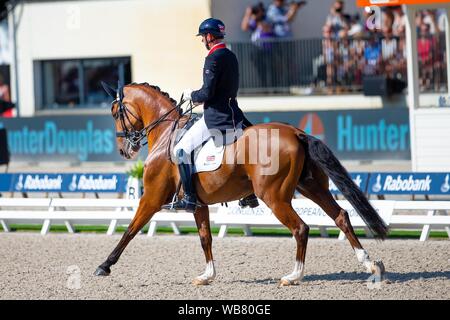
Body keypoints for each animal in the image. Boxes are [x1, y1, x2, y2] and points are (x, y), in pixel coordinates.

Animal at [94, 82, 386, 284]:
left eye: (115, 112)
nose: (124, 150)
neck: (167, 131)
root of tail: (296, 132)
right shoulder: (198, 204)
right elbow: (205, 238)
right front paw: (208, 275)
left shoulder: (151, 198)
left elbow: (130, 230)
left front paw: (104, 265)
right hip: (312, 187)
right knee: (340, 216)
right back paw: (369, 264)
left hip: (275, 197)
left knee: (301, 228)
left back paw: (293, 276)